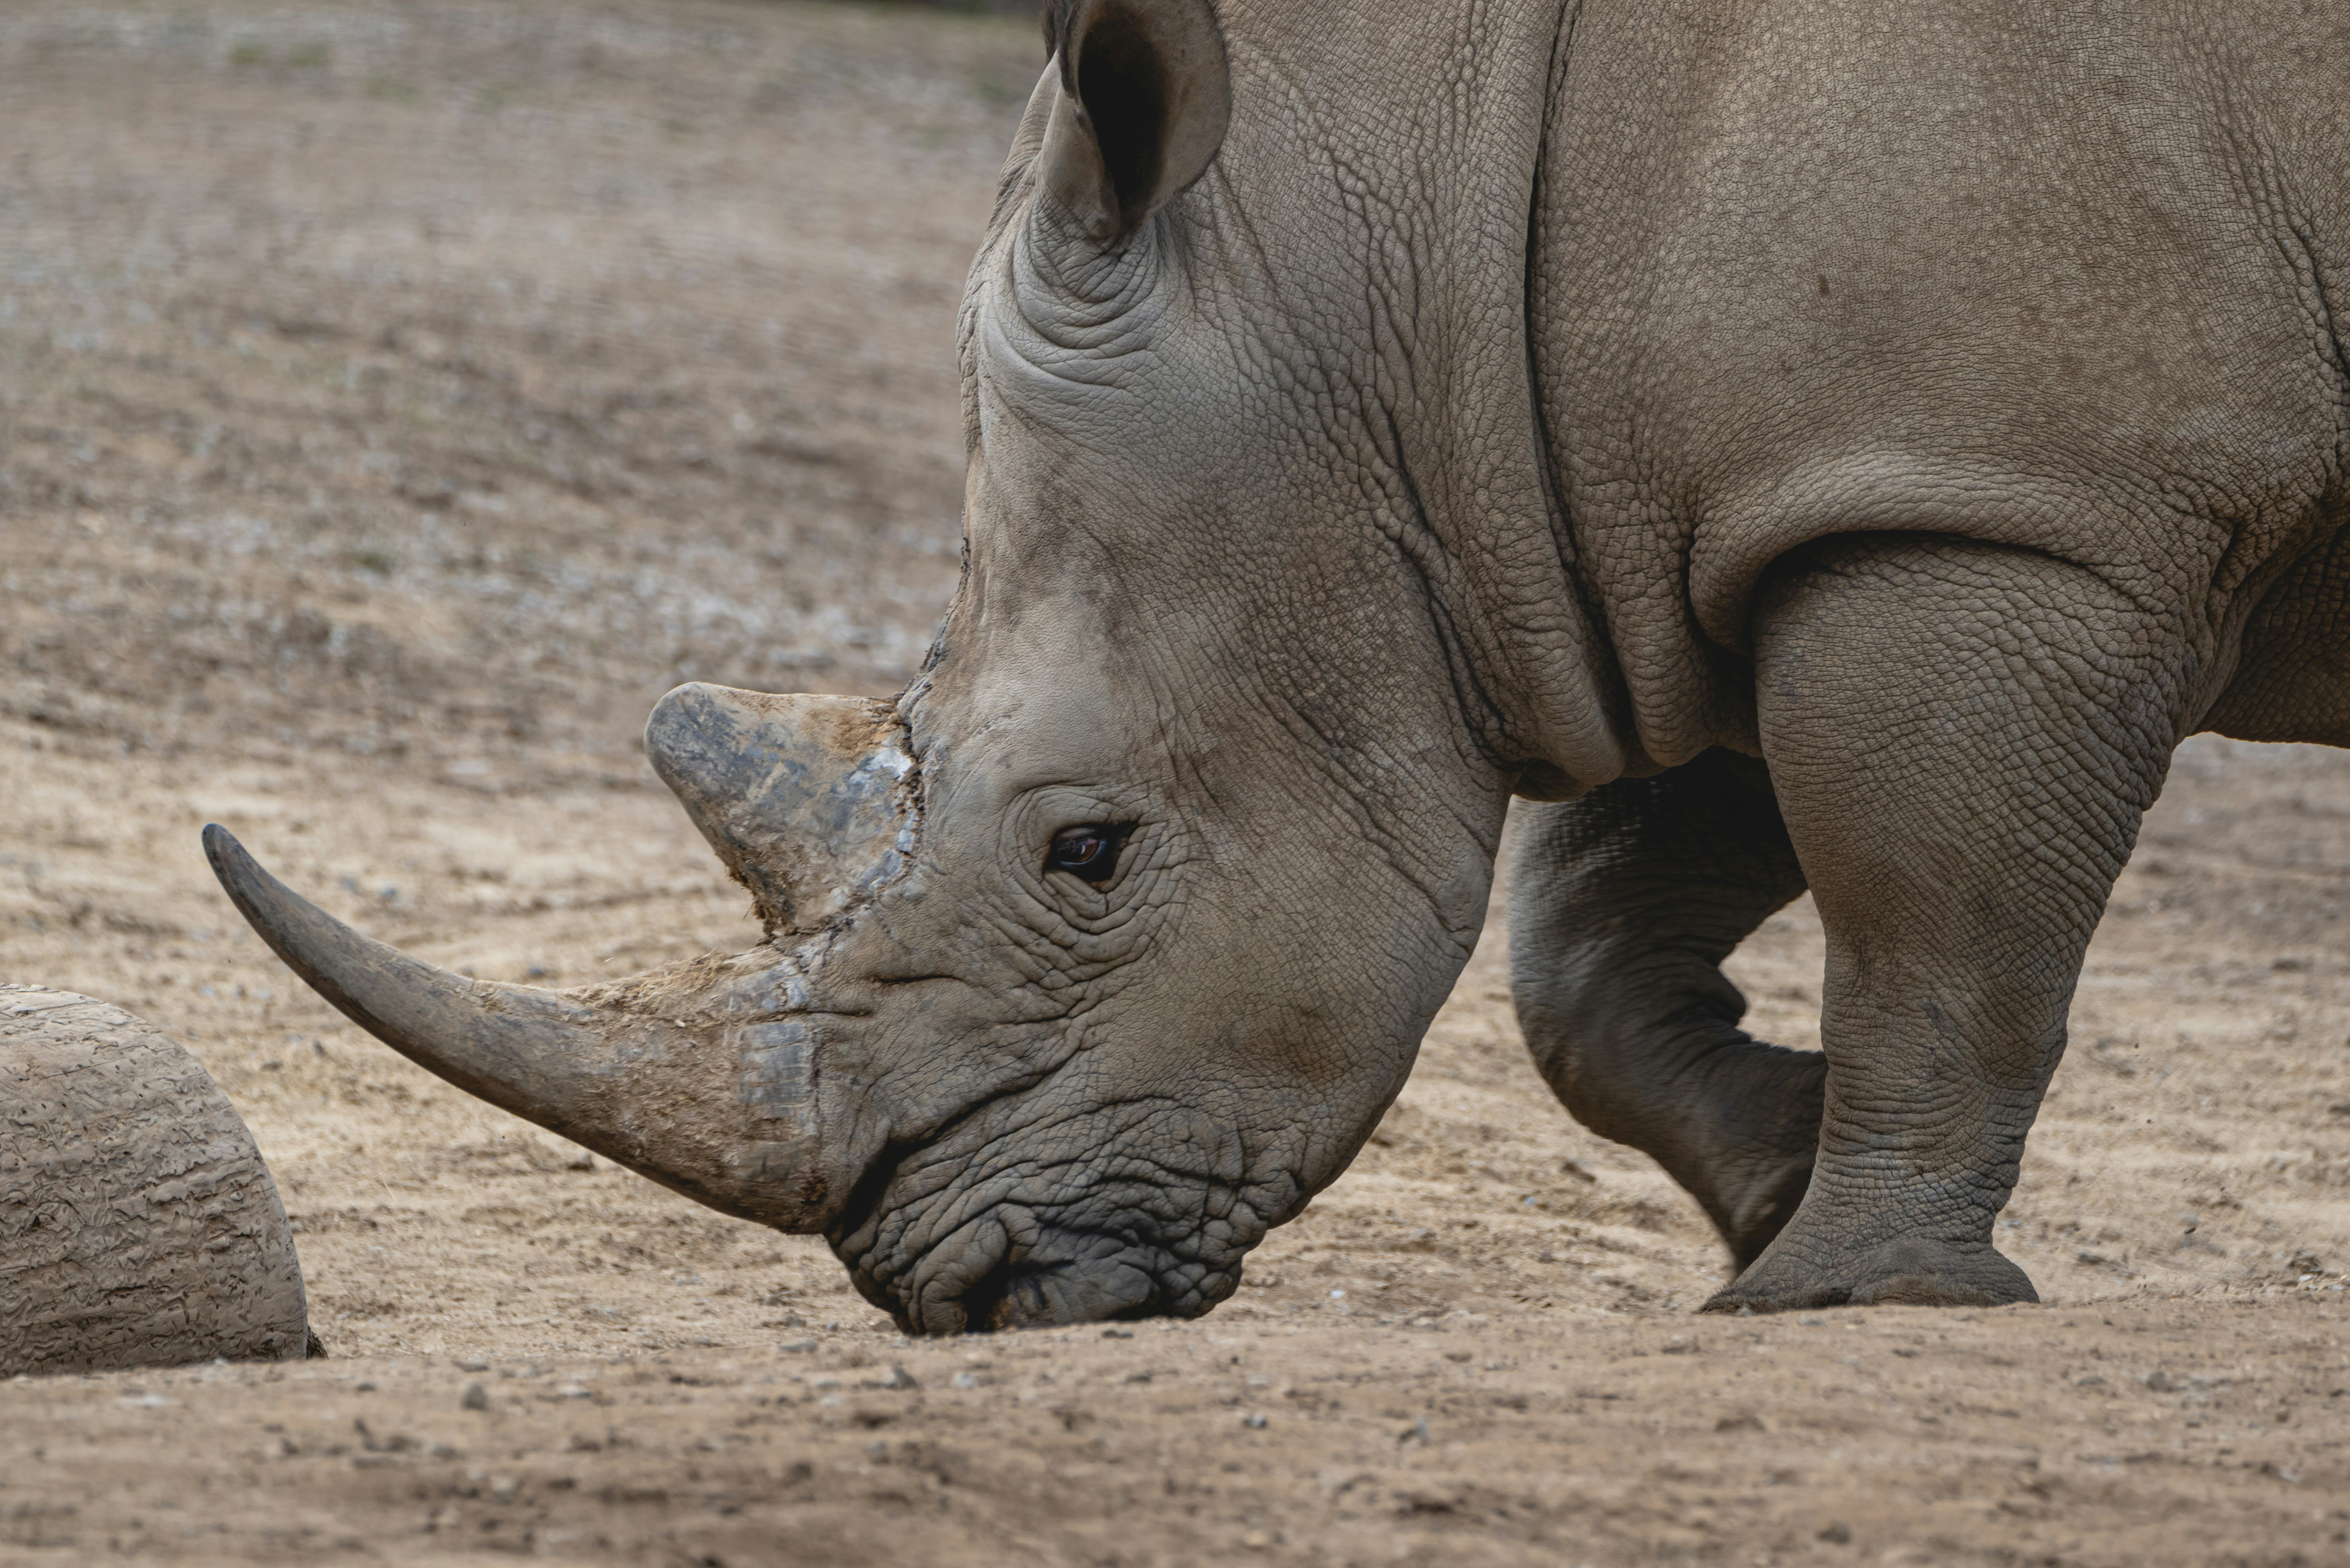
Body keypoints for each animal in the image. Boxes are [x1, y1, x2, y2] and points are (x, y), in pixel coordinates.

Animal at [206, 0, 2350, 1327]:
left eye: (1086, 851)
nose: (961, 1289)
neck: (1397, 255)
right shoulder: (1703, 518)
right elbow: (1583, 950)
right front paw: (1768, 1190)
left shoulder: (1996, 502)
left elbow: (1934, 914)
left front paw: (1853, 1293)